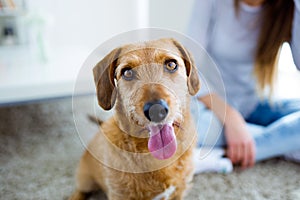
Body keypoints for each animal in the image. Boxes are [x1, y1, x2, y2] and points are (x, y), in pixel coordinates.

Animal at [70, 38, 200, 199]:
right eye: (127, 72)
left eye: (171, 64)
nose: (156, 111)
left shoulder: (179, 191)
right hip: (86, 180)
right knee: (80, 191)